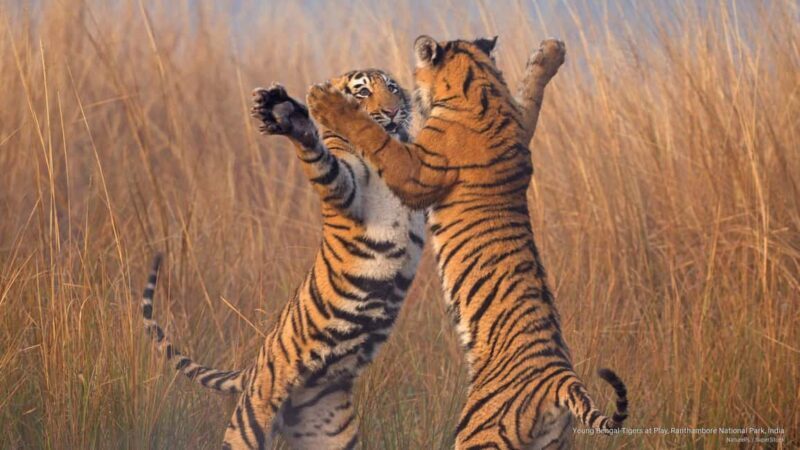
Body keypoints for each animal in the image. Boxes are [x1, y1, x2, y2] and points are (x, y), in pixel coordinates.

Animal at [305, 37, 628, 449]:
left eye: (396, 86)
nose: (395, 110)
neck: (480, 88)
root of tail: (560, 379)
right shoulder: (520, 126)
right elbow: (530, 96)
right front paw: (549, 53)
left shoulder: (414, 171)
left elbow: (375, 139)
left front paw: (327, 102)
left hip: (479, 432)